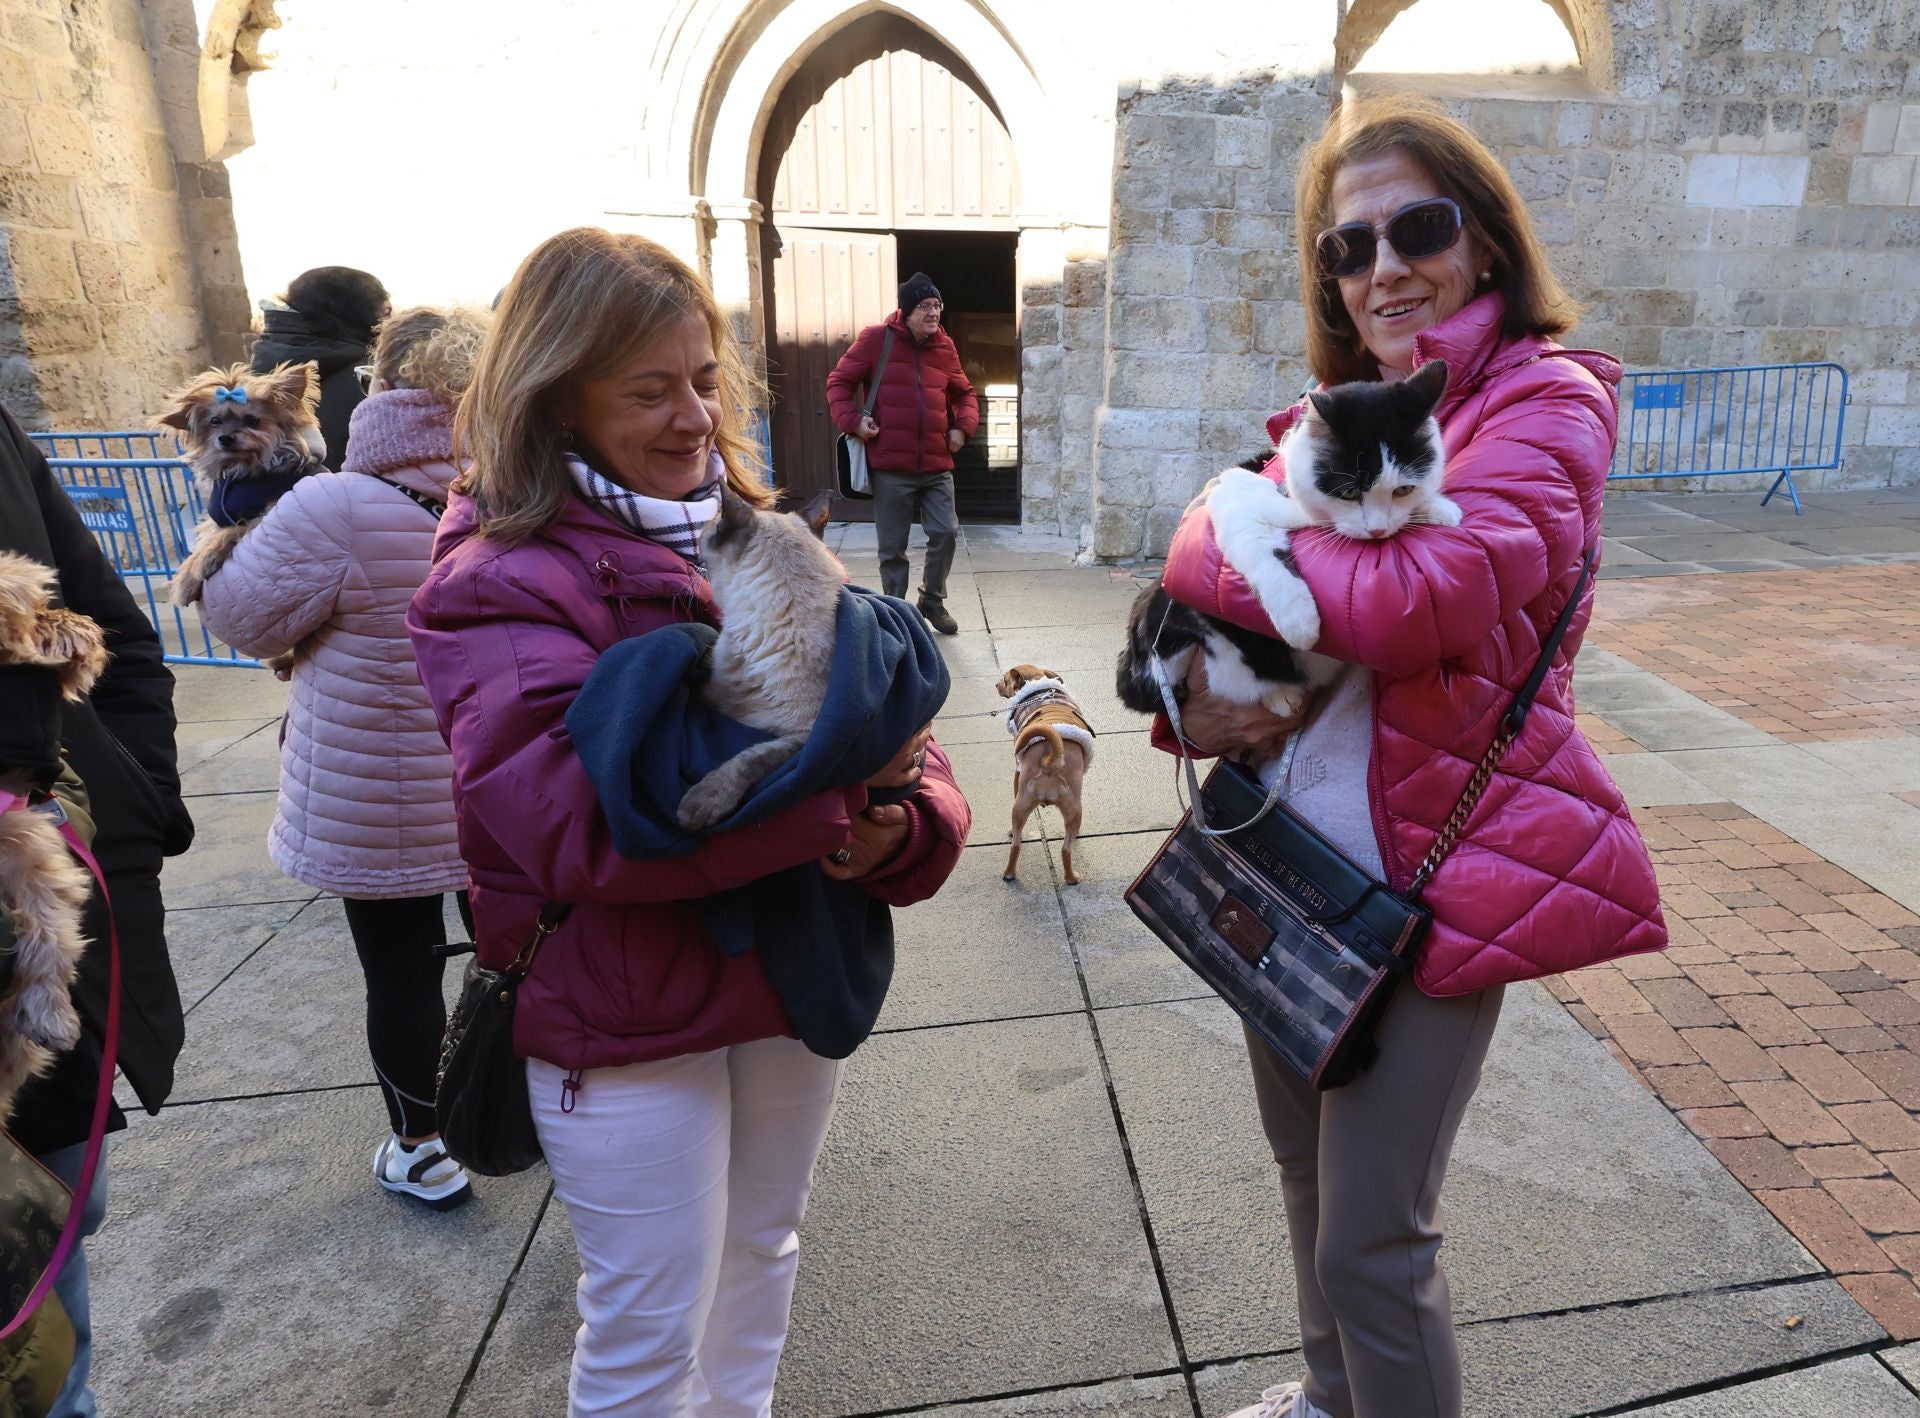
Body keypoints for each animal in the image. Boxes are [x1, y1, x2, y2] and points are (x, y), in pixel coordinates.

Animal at [159, 356, 324, 606]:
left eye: (253, 420)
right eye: (215, 421)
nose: (225, 438)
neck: (242, 469)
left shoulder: (266, 510)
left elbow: (231, 530)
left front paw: (200, 564)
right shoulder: (215, 519)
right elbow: (208, 535)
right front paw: (187, 577)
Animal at [990, 663, 1098, 886]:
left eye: (1004, 680)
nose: (995, 685)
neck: (1038, 688)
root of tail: (1052, 761)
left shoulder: (1017, 773)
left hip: (1021, 806)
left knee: (1016, 845)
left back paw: (1010, 873)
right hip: (1074, 810)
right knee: (1065, 849)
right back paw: (1071, 878)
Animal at [1113, 360, 1451, 725]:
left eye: (1403, 489)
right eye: (1349, 492)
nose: (1377, 529)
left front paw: (1440, 509)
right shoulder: (1232, 495)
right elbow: (1259, 549)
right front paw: (1298, 619)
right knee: (1228, 679)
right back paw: (1279, 694)